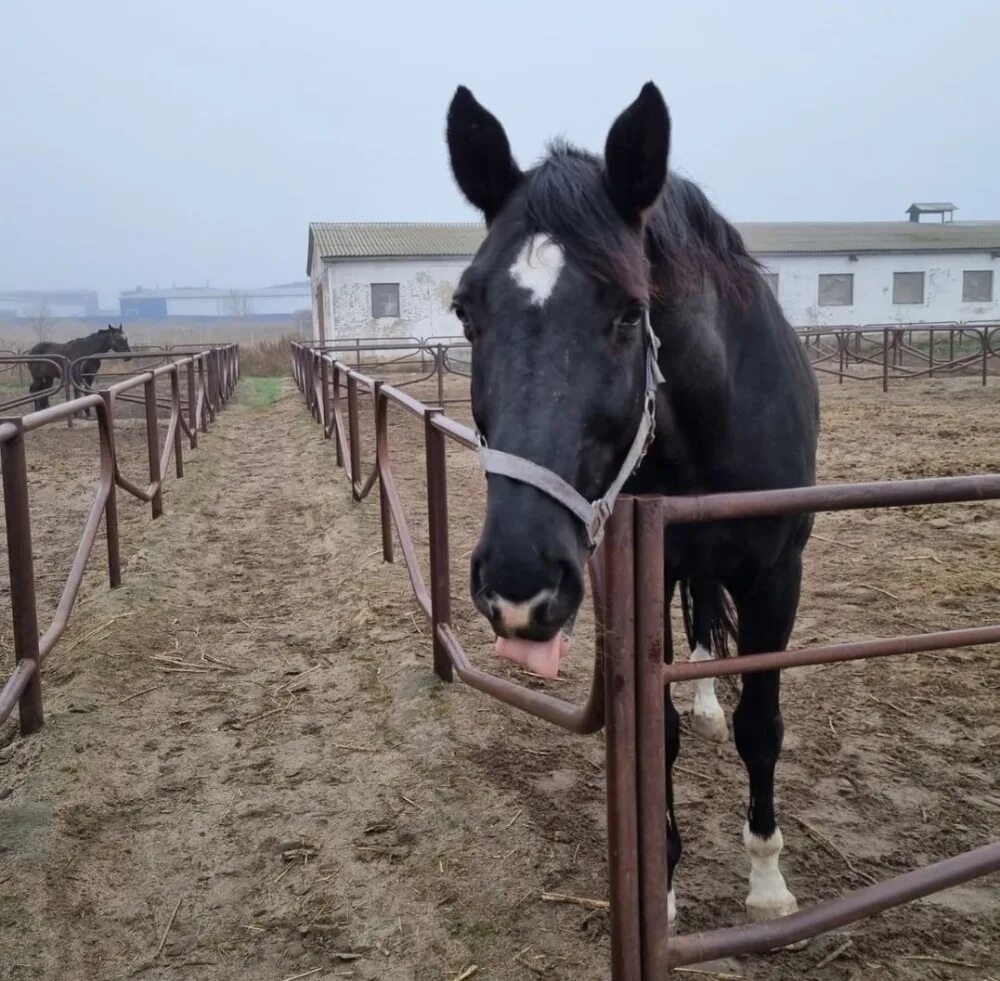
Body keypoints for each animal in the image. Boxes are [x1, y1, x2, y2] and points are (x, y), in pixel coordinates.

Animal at [448, 82, 820, 928]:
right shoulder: (648, 567)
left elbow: (762, 724)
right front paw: (667, 885)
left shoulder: (778, 574)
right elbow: (661, 728)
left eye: (627, 311)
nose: (518, 583)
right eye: (466, 312)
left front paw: (767, 879)